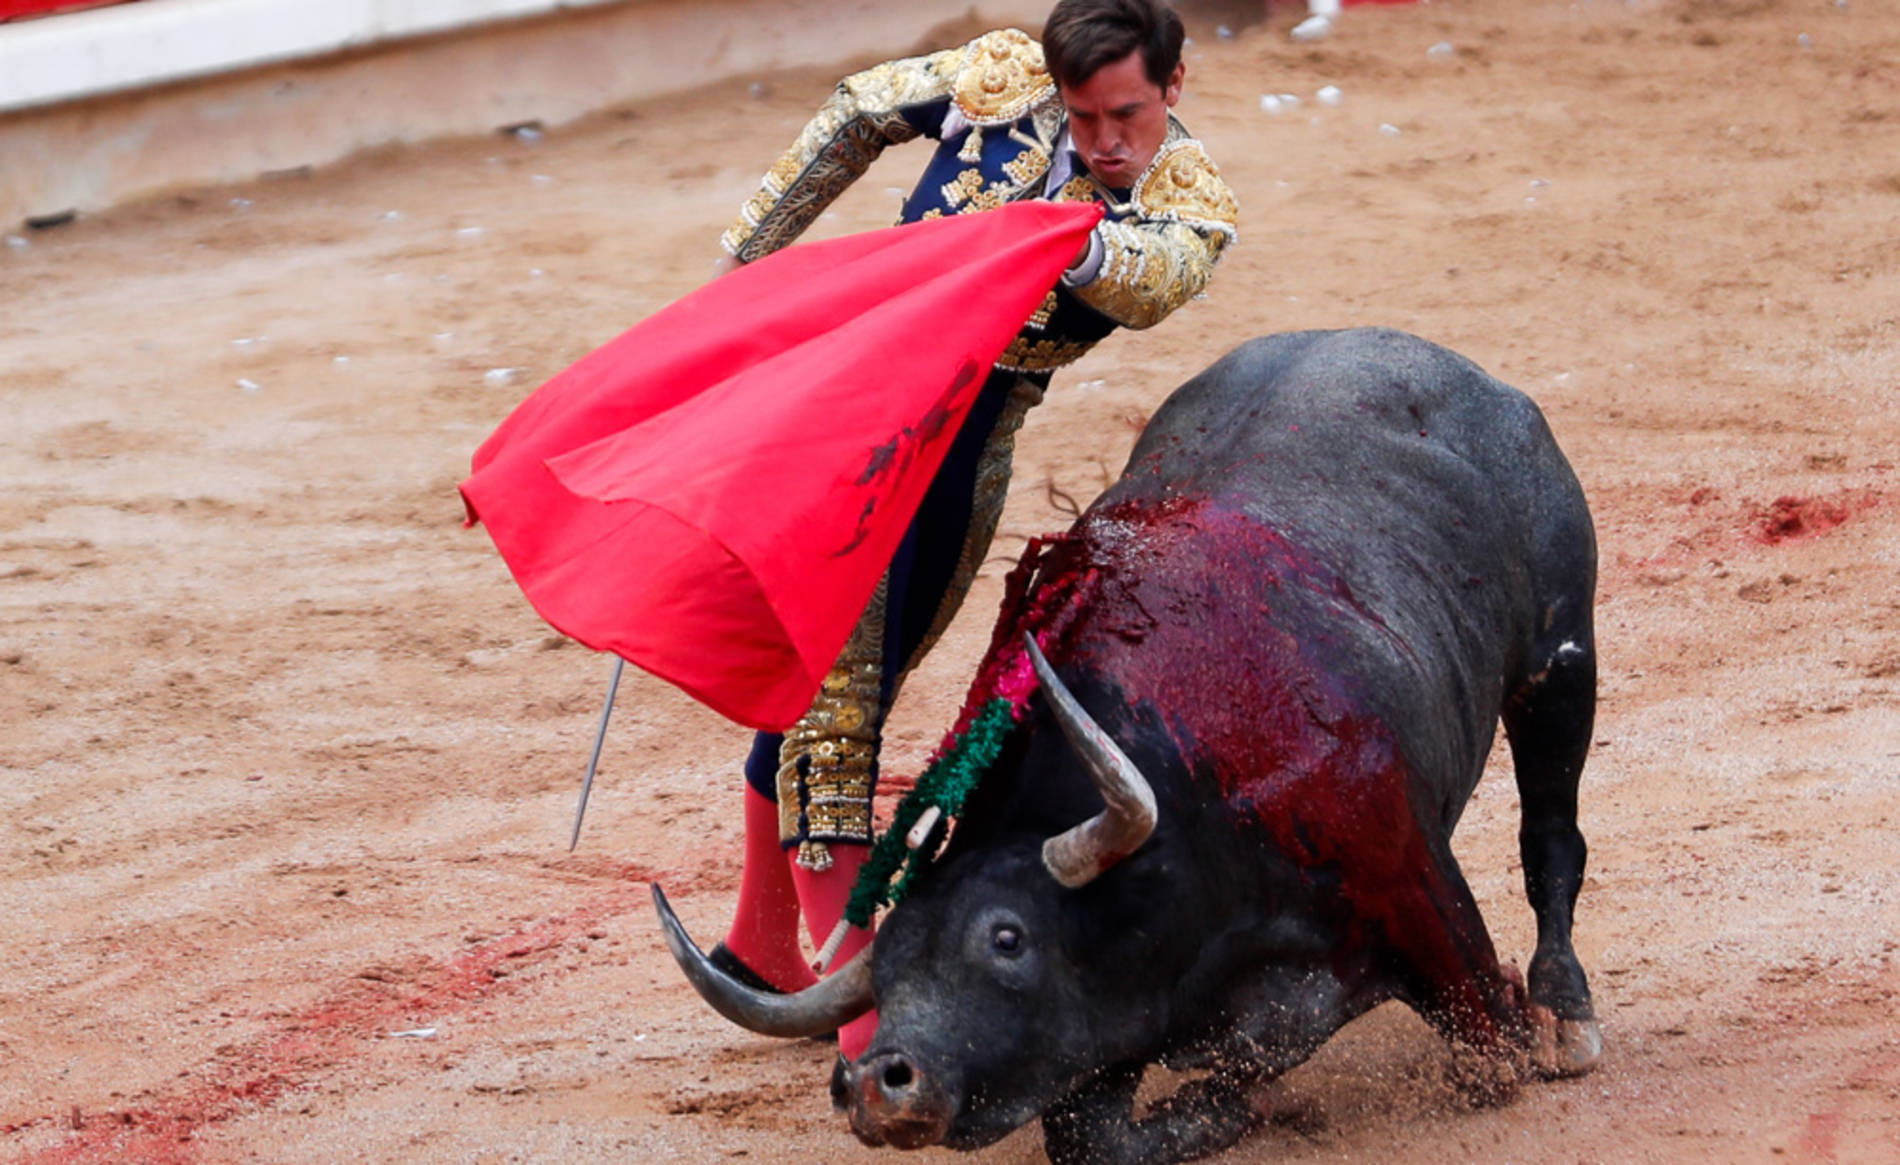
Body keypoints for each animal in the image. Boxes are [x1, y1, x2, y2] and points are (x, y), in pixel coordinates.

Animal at [653, 328, 1603, 1163]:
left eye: (1007, 938)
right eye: (883, 970)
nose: (877, 1082)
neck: (1192, 798)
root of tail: (1457, 371)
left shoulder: (1417, 897)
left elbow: (1490, 1049)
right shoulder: (1114, 1019)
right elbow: (1096, 1132)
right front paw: (1236, 1108)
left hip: (1561, 663)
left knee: (1552, 836)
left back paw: (1571, 1014)